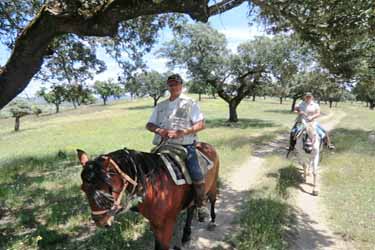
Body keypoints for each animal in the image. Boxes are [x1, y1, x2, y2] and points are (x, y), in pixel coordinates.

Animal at [78, 143, 222, 250]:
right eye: (83, 189)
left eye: (109, 188)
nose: (99, 221)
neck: (155, 187)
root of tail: (207, 146)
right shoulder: (154, 222)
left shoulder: (168, 223)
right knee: (191, 209)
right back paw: (186, 236)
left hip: (213, 185)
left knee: (213, 200)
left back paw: (212, 221)